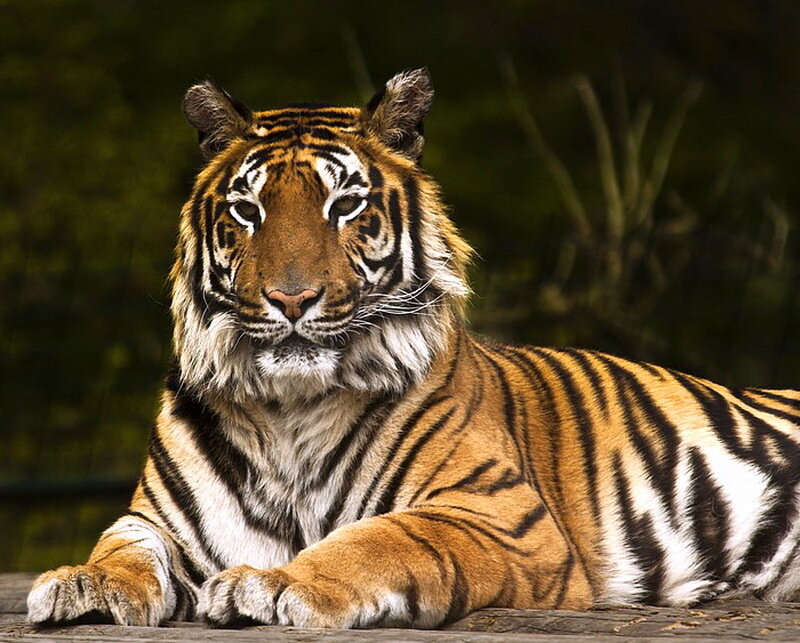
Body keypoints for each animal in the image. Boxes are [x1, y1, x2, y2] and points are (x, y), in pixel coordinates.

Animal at [27, 68, 800, 630]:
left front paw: (272, 582)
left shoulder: (498, 514)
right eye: (248, 211)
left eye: (344, 205)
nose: (291, 299)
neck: (287, 408)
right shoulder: (158, 519)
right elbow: (124, 546)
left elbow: (378, 538)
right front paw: (83, 583)